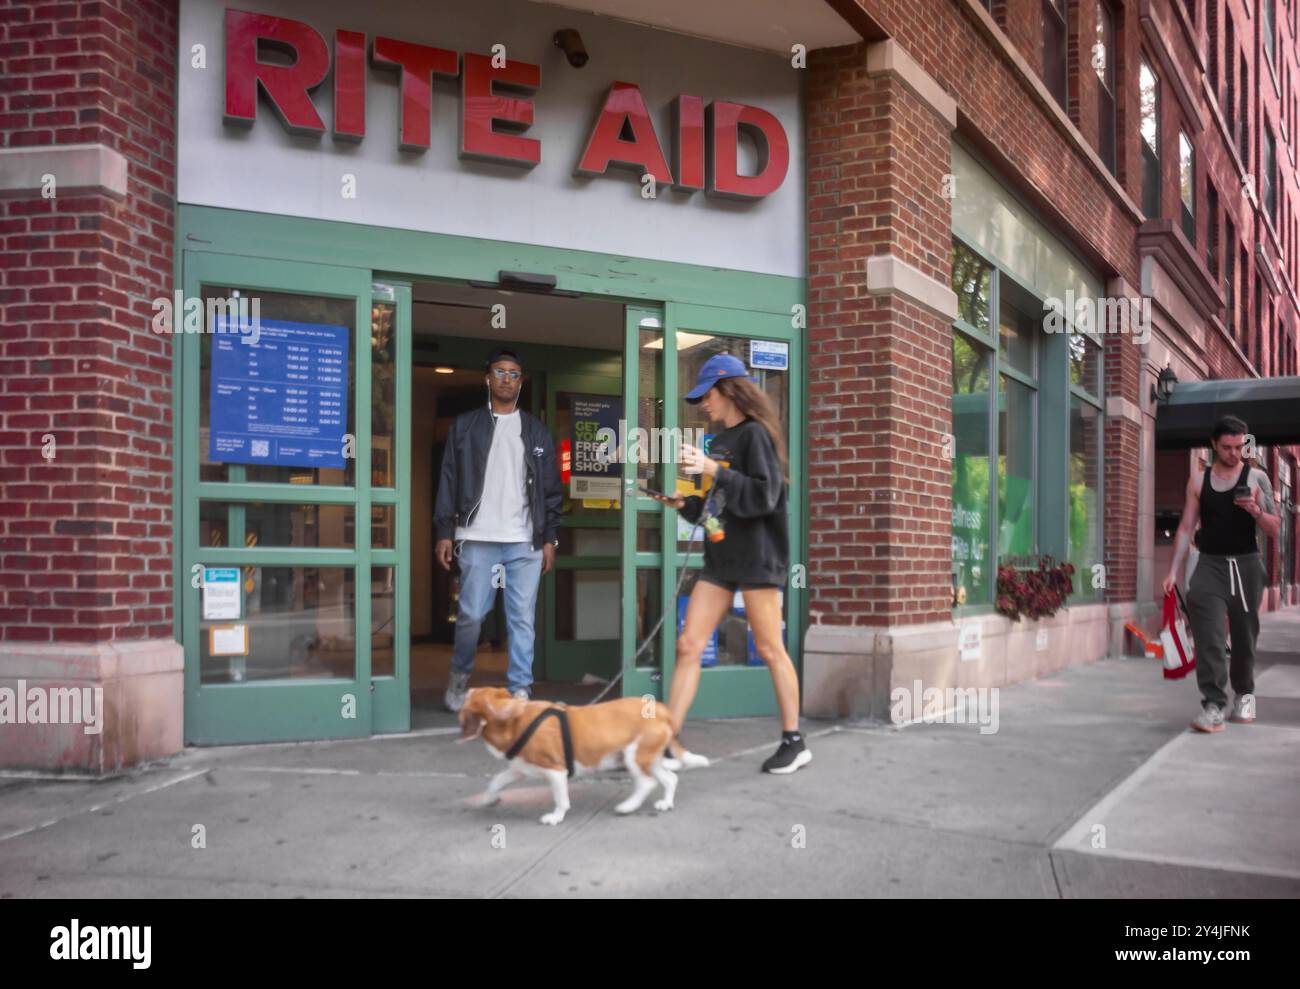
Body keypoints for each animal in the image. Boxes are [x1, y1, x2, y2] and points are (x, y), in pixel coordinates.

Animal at [457, 686, 681, 826]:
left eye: (471, 696)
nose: (467, 689)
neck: (514, 720)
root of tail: (662, 710)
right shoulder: (519, 769)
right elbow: (496, 781)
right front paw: (488, 798)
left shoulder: (556, 771)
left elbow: (561, 799)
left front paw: (556, 817)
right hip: (649, 758)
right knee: (670, 778)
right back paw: (666, 803)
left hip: (634, 756)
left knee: (647, 783)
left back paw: (628, 806)